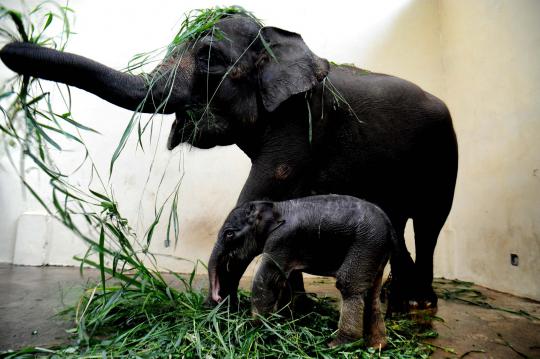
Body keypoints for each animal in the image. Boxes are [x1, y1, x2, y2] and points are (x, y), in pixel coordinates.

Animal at [0, 9, 458, 314]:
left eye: (208, 59)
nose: (14, 42)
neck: (277, 39)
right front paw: (295, 310)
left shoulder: (300, 122)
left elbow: (261, 194)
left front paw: (228, 310)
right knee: (396, 221)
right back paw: (399, 302)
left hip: (444, 153)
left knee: (430, 222)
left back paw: (420, 304)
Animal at [213, 195, 398, 350]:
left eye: (229, 234)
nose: (218, 298)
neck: (276, 206)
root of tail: (390, 228)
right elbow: (286, 280)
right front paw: (282, 322)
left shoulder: (281, 240)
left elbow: (267, 278)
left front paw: (257, 330)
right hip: (375, 251)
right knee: (372, 292)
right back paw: (377, 346)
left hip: (366, 245)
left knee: (349, 286)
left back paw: (338, 346)